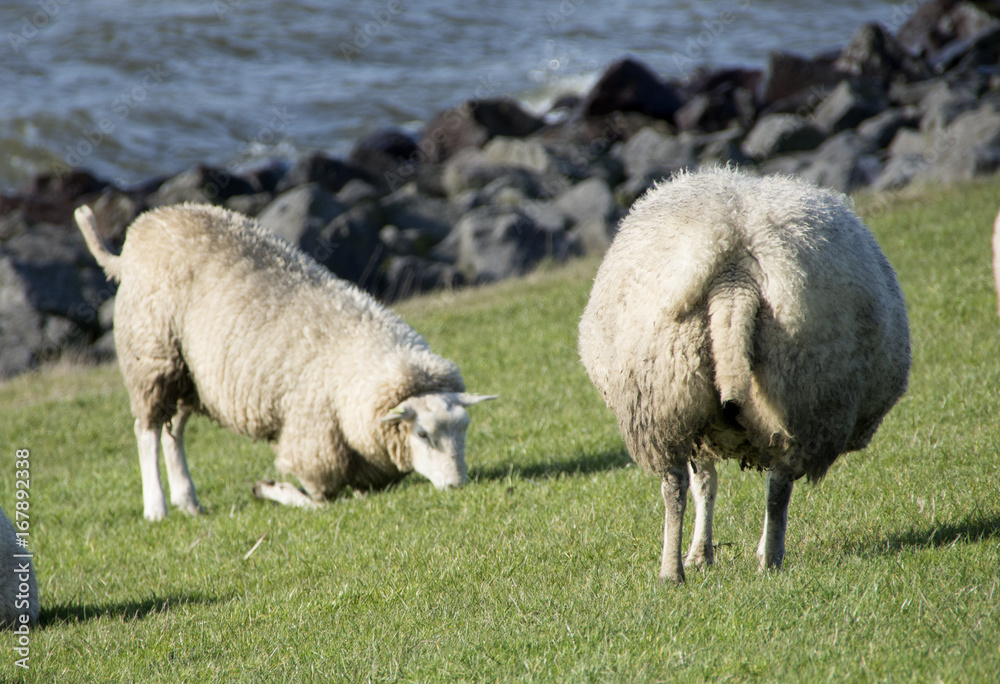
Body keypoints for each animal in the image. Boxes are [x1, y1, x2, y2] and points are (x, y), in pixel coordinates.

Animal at [74, 203, 494, 521]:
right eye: (422, 434)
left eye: (465, 429)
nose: (458, 485)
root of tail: (135, 240)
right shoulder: (313, 443)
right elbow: (317, 501)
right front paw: (270, 489)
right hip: (151, 354)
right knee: (146, 429)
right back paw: (157, 507)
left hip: (188, 373)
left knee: (172, 430)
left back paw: (188, 500)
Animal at [578, 167, 910, 584]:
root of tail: (735, 270)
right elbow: (709, 484)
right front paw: (704, 554)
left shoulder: (697, 427)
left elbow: (704, 485)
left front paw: (699, 555)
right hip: (798, 392)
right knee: (778, 485)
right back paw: (769, 558)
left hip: (665, 399)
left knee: (676, 485)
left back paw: (673, 572)